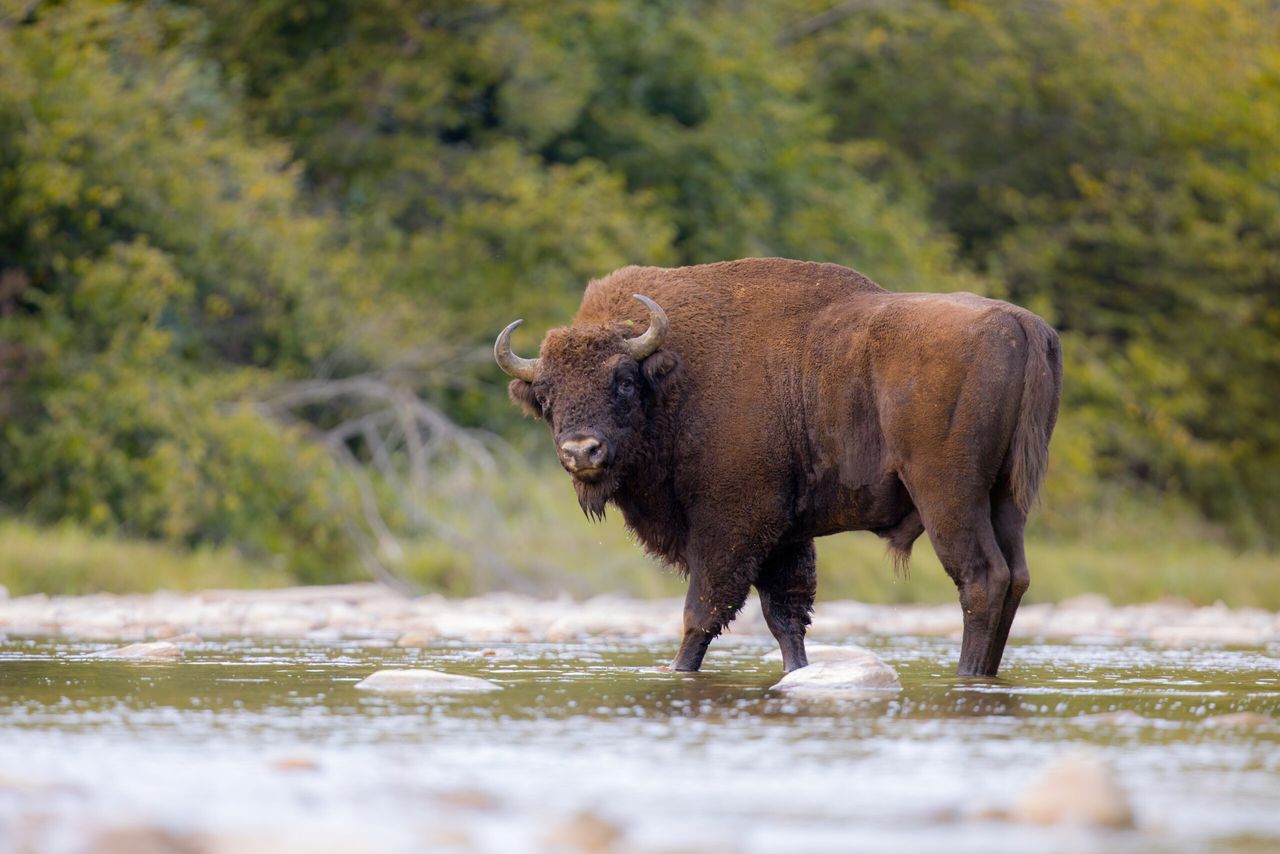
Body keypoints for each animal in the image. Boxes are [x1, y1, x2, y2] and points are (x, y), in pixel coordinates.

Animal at [488, 257, 1059, 676]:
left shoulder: (730, 525)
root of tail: (1022, 323)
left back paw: (966, 675)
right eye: (546, 394)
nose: (581, 451)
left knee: (982, 578)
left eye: (623, 380)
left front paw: (678, 671)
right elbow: (786, 618)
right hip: (1006, 497)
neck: (676, 379)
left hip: (948, 495)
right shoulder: (784, 536)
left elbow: (703, 612)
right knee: (1017, 577)